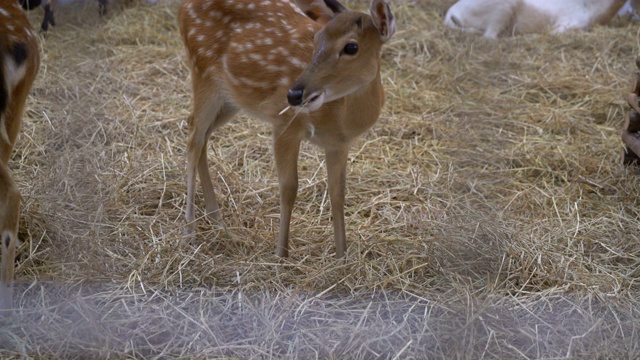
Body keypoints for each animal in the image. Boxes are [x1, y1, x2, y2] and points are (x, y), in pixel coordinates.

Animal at [176, 0, 396, 258]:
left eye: (351, 47)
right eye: (316, 38)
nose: (293, 94)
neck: (340, 117)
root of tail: (183, 7)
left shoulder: (339, 144)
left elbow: (337, 193)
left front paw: (342, 255)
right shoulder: (284, 124)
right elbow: (289, 188)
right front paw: (281, 254)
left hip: (230, 98)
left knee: (202, 136)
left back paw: (217, 220)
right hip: (202, 72)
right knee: (193, 137)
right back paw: (189, 233)